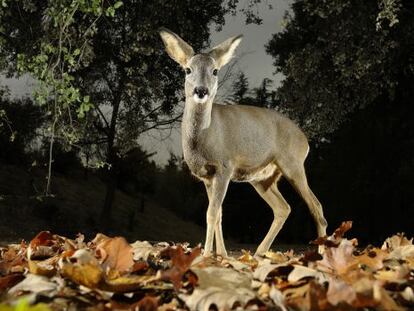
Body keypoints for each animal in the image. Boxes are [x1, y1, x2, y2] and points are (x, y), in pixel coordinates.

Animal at [158, 28, 326, 258]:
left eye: (215, 71)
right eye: (187, 70)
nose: (201, 91)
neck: (204, 138)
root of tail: (305, 141)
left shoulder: (225, 166)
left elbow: (211, 213)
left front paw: (206, 255)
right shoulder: (207, 176)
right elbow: (218, 214)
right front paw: (222, 255)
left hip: (293, 164)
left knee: (316, 206)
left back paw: (323, 253)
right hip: (263, 179)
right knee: (283, 208)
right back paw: (259, 253)